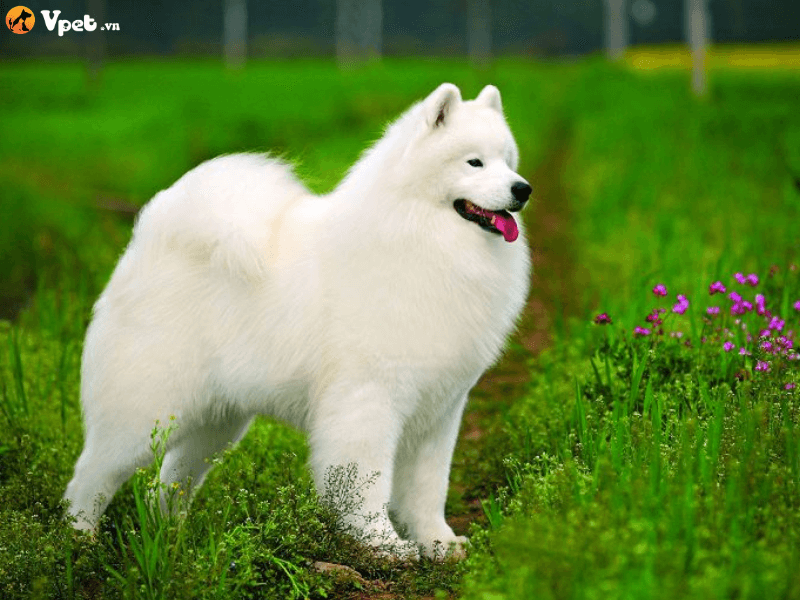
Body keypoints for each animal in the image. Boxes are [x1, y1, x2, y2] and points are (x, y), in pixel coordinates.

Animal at [64, 83, 532, 556]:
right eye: (474, 162)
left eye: (508, 161)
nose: (523, 189)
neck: (424, 238)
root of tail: (148, 242)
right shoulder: (368, 400)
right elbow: (368, 484)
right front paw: (381, 543)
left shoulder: (440, 411)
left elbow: (427, 487)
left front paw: (439, 542)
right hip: (144, 413)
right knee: (91, 475)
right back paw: (78, 540)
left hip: (216, 422)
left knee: (169, 482)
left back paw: (173, 539)